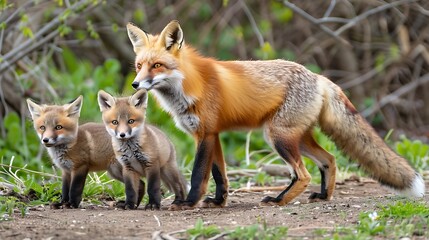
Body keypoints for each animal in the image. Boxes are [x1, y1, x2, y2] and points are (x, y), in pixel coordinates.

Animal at [125, 20, 422, 208]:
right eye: (139, 66)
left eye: (157, 65)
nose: (135, 85)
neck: (187, 84)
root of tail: (319, 77)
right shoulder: (214, 134)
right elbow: (221, 175)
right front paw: (219, 202)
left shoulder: (205, 134)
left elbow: (199, 174)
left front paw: (188, 202)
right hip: (296, 137)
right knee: (329, 159)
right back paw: (323, 197)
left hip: (276, 136)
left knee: (303, 174)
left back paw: (279, 200)